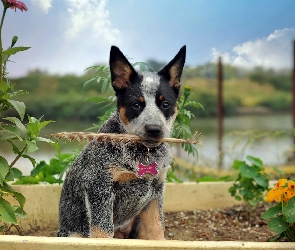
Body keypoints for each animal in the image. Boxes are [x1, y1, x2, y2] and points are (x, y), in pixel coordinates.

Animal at [57, 45, 186, 240]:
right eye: (136, 105)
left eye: (165, 104)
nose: (154, 129)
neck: (142, 154)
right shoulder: (99, 187)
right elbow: (103, 231)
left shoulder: (156, 191)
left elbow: (157, 228)